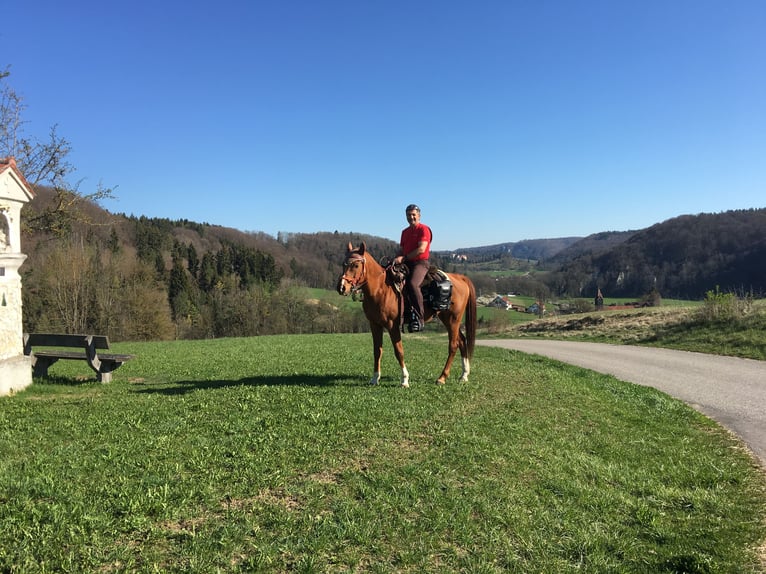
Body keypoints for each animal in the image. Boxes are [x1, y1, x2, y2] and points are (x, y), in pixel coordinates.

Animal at [337, 242, 477, 387]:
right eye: (343, 264)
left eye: (356, 265)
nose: (341, 287)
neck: (380, 289)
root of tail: (460, 278)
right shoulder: (375, 325)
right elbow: (377, 351)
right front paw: (375, 378)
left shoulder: (392, 325)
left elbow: (399, 351)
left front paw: (404, 379)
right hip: (448, 319)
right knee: (462, 341)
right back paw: (464, 375)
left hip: (453, 319)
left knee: (453, 345)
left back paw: (442, 377)